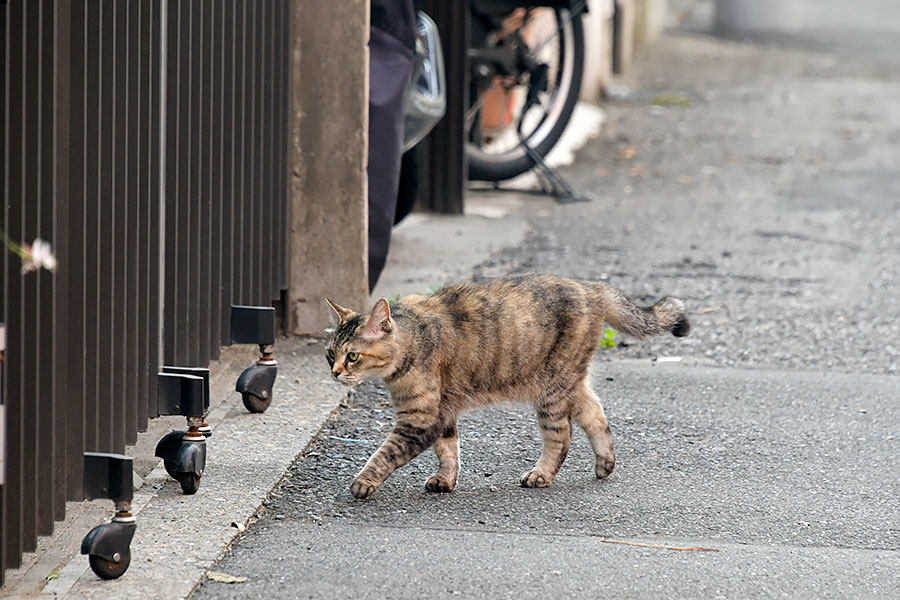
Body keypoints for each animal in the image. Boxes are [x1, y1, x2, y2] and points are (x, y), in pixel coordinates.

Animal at [324, 274, 688, 500]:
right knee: (596, 415)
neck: (413, 338)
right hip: (570, 381)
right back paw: (605, 463)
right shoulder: (443, 412)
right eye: (330, 353)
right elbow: (449, 449)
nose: (335, 372)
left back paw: (541, 475)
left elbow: (384, 453)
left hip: (552, 387)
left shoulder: (421, 417)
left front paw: (363, 482)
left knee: (562, 436)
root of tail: (590, 287)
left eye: (352, 356)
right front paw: (446, 480)